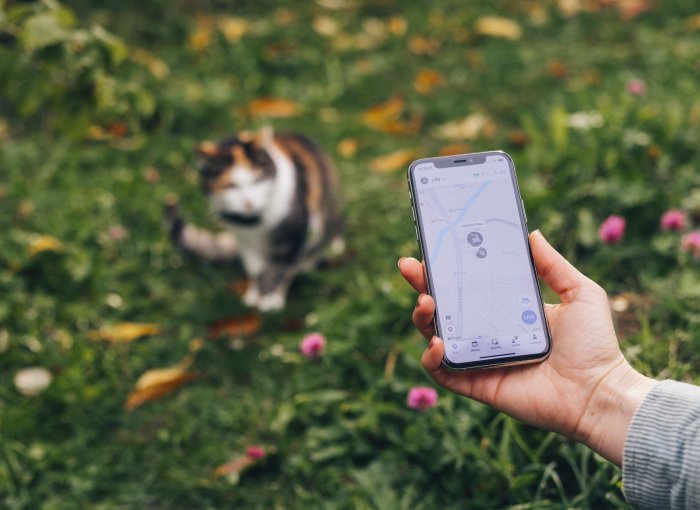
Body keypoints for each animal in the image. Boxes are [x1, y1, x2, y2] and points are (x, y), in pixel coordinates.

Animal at [165, 127, 344, 310]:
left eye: (257, 180)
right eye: (230, 186)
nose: (248, 203)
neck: (254, 223)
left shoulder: (294, 232)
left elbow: (280, 268)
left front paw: (270, 299)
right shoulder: (244, 239)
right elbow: (255, 270)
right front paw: (255, 295)